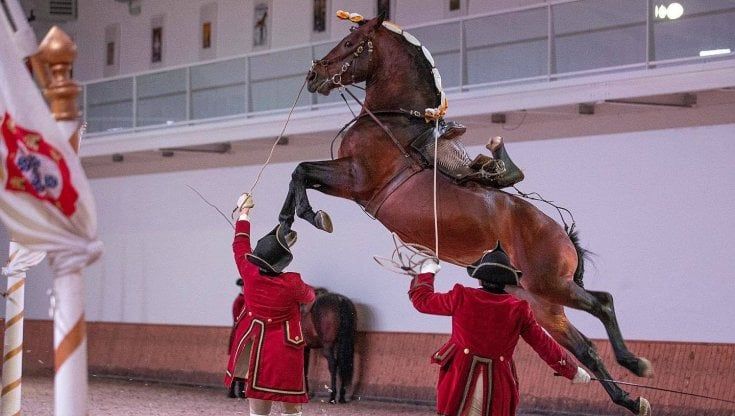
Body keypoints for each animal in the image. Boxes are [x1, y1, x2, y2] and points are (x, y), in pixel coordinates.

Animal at [278, 13, 652, 415]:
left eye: (350, 45)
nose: (313, 75)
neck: (392, 122)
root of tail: (562, 235)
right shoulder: (349, 185)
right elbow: (301, 173)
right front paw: (288, 225)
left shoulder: (356, 179)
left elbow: (301, 170)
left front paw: (303, 218)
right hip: (543, 302)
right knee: (586, 347)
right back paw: (630, 399)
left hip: (550, 285)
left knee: (604, 303)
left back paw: (636, 363)